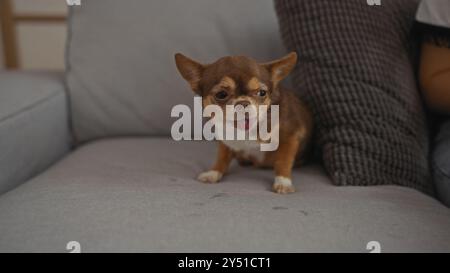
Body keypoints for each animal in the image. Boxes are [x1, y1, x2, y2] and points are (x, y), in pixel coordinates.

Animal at [174, 52, 312, 193]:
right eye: (221, 94)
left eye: (262, 93)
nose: (243, 103)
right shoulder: (226, 141)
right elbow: (222, 157)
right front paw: (214, 172)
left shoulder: (290, 136)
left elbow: (283, 160)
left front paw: (283, 182)